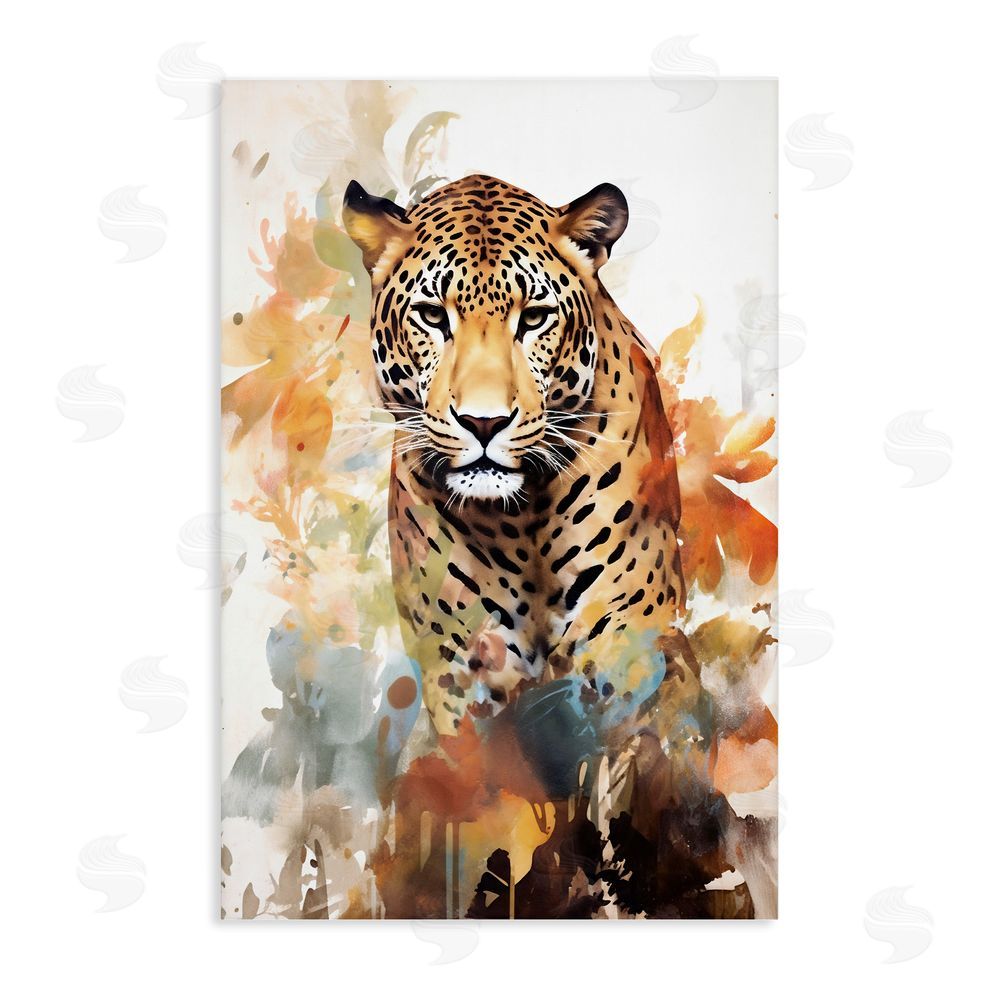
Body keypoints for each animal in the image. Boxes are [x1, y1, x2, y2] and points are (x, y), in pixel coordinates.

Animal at [343, 173, 700, 742]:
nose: (484, 423)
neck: (519, 520)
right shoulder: (457, 668)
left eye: (534, 318)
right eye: (432, 315)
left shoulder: (628, 641)